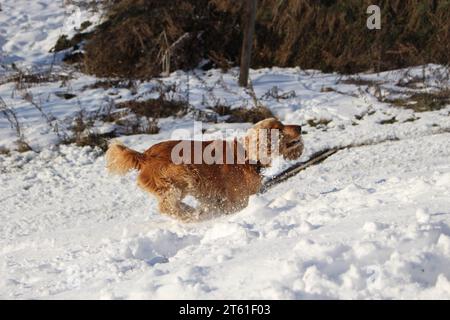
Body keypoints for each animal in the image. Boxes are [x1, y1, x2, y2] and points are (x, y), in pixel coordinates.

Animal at [105, 118, 302, 222]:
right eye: (279, 128)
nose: (300, 127)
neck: (247, 156)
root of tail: (144, 155)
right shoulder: (238, 199)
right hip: (183, 174)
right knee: (166, 206)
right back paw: (190, 214)